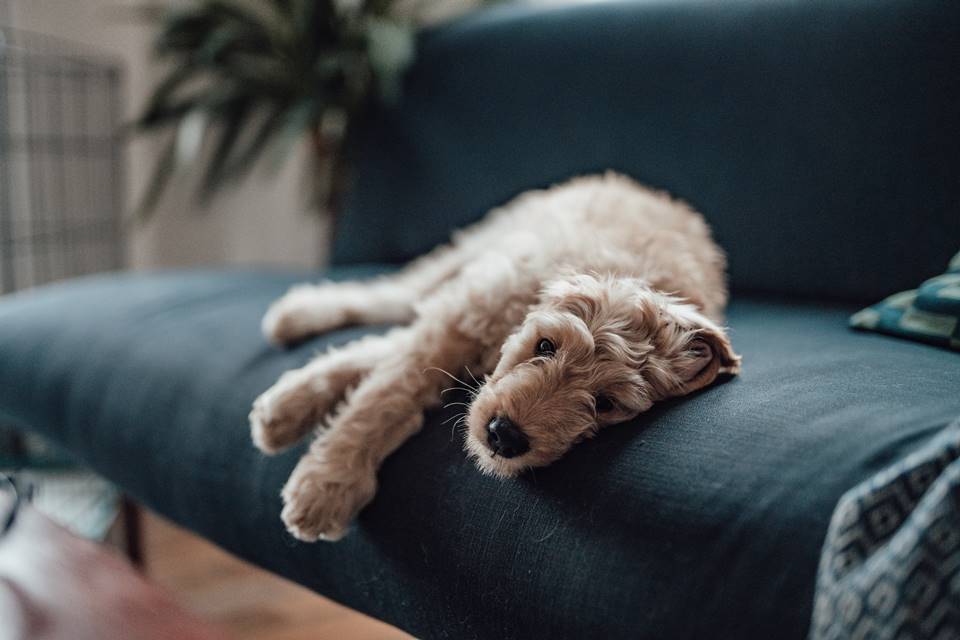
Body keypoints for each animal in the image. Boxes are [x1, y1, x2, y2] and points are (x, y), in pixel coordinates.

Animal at [249, 172, 744, 544]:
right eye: (545, 345)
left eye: (605, 403)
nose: (504, 436)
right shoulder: (467, 312)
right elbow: (387, 393)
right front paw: (327, 484)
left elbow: (388, 360)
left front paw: (291, 411)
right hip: (481, 245)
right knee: (399, 294)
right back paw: (297, 314)